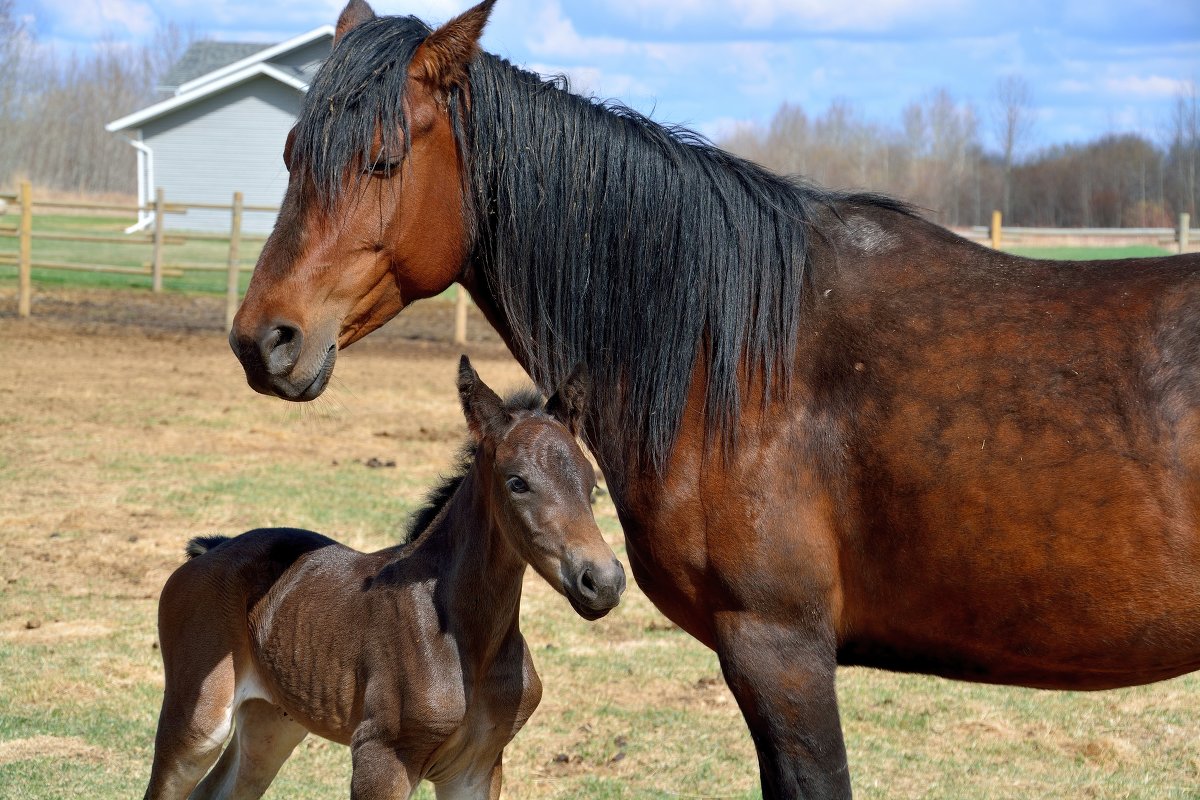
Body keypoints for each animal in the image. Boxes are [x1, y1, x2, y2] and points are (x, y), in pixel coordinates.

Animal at [145, 357, 624, 800]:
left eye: (592, 483)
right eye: (517, 483)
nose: (603, 581)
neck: (471, 642)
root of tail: (213, 548)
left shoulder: (478, 767)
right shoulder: (382, 758)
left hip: (273, 721)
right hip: (198, 720)